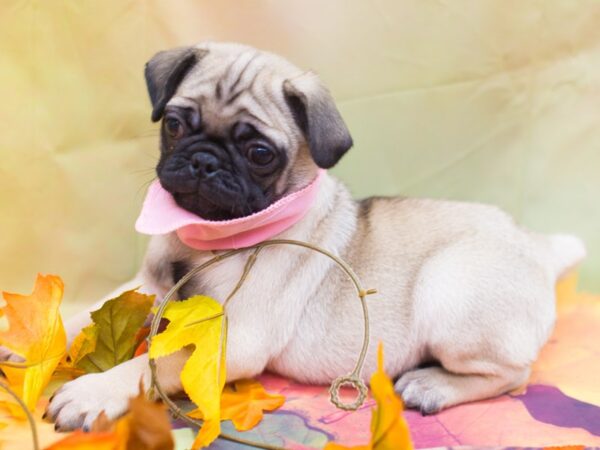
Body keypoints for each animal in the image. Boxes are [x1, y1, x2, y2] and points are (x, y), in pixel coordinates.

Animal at [47, 41, 584, 428]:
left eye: (260, 153)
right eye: (176, 125)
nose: (204, 160)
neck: (205, 238)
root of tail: (539, 247)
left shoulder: (232, 339)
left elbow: (158, 362)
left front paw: (93, 390)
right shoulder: (148, 285)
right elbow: (88, 311)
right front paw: (43, 337)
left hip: (450, 291)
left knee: (514, 374)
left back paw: (433, 386)